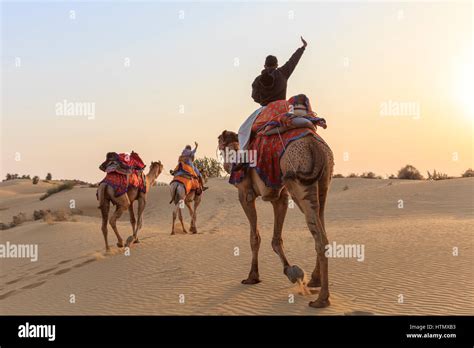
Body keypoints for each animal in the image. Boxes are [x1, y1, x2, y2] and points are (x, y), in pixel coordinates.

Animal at [218, 130, 334, 308]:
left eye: (220, 145)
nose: (227, 166)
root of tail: (313, 145)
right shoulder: (280, 196)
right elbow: (276, 239)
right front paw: (292, 272)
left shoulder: (245, 194)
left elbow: (255, 237)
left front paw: (252, 277)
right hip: (323, 181)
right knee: (322, 229)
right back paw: (315, 280)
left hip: (299, 181)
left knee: (320, 238)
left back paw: (321, 299)